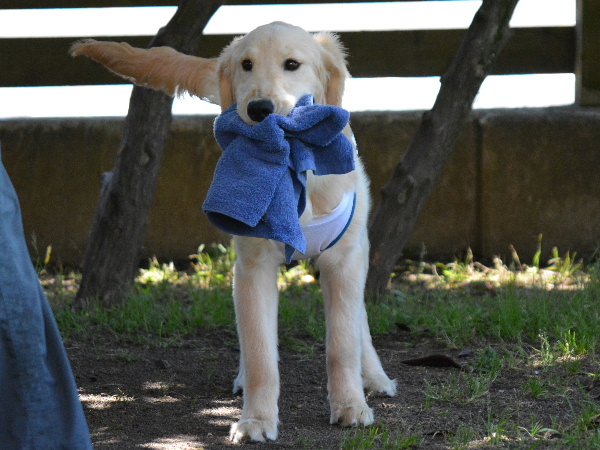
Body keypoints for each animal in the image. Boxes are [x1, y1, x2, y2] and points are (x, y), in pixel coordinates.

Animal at [70, 21, 396, 442]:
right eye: (246, 65)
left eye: (292, 64)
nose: (259, 110)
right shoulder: (253, 267)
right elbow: (259, 352)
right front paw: (256, 419)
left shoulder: (343, 260)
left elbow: (342, 343)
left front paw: (350, 405)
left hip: (355, 247)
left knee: (359, 322)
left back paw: (374, 377)